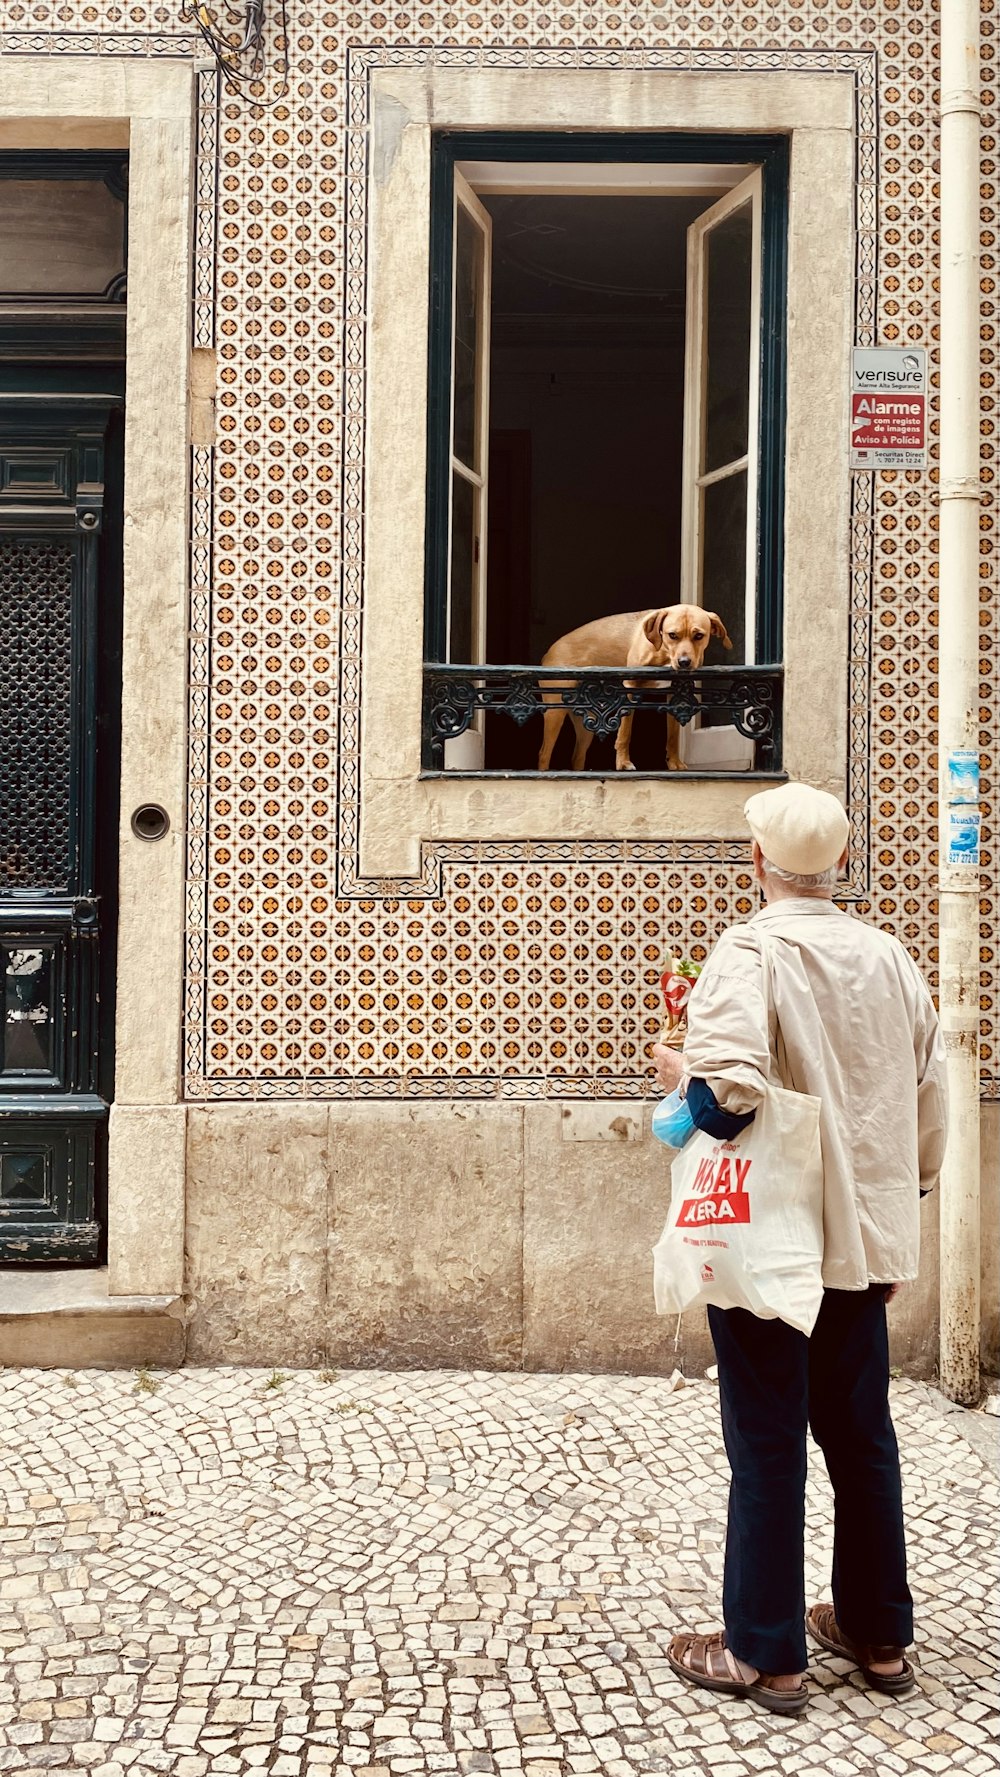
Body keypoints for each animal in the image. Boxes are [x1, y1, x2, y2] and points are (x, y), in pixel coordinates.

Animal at [539, 604, 735, 771]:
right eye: (672, 635)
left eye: (699, 636)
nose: (684, 662)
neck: (663, 652)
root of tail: (547, 653)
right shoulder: (630, 689)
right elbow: (625, 733)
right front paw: (623, 763)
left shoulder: (676, 695)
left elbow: (673, 737)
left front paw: (674, 763)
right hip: (555, 713)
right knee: (543, 754)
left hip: (586, 725)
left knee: (577, 757)